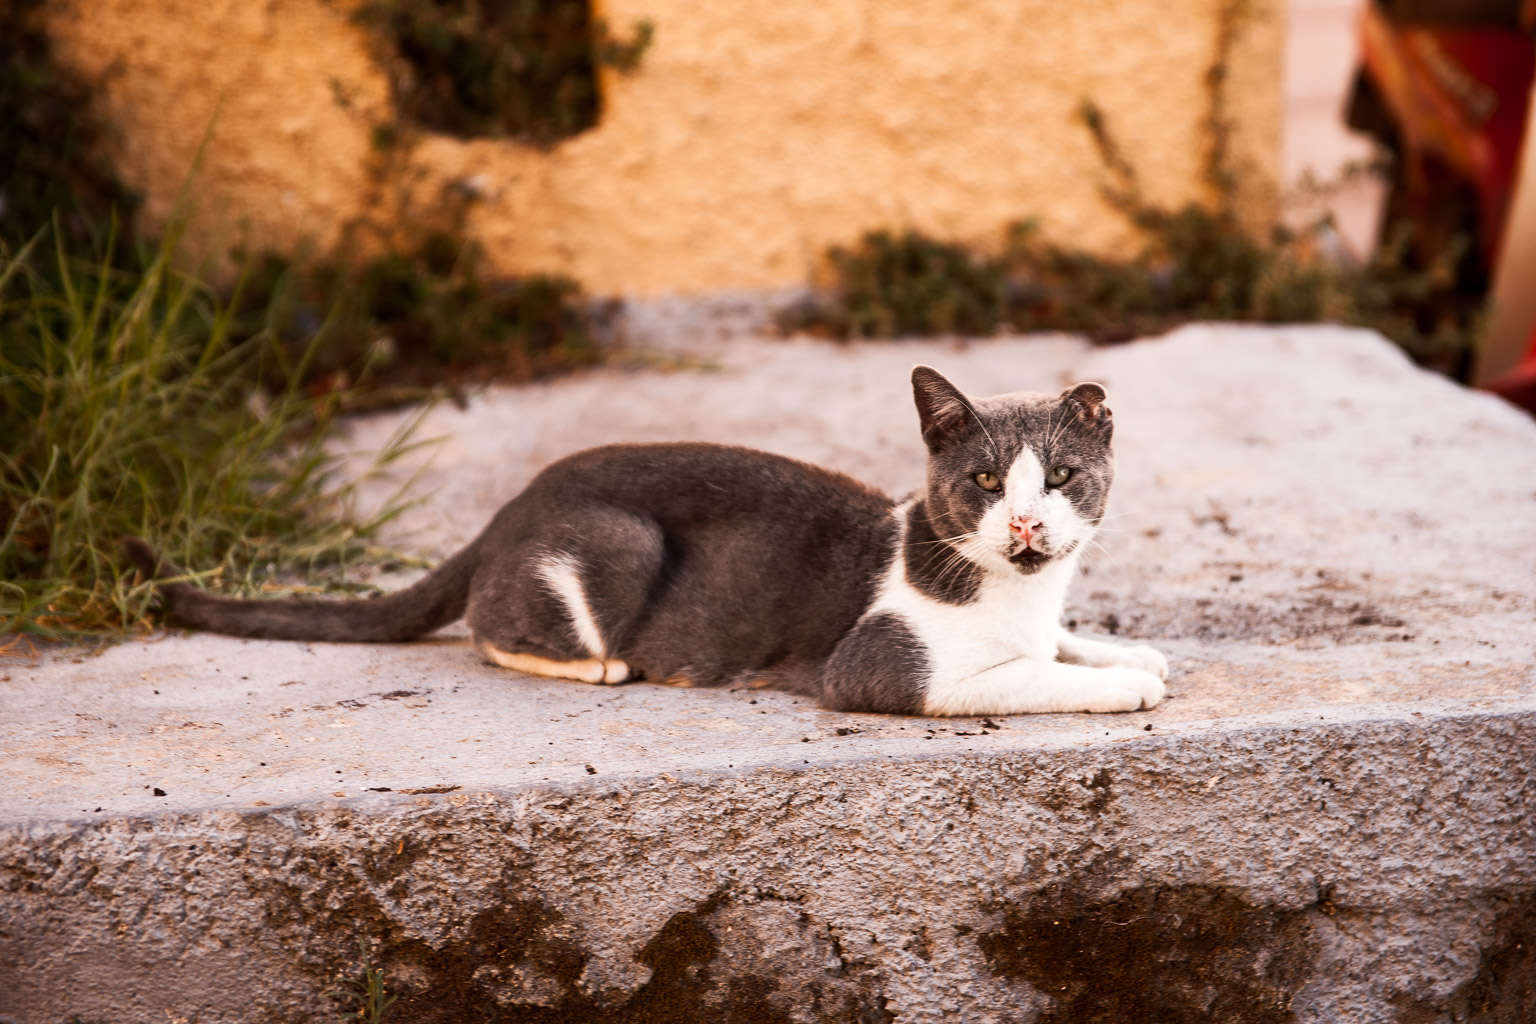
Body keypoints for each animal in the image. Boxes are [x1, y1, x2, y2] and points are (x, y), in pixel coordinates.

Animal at [125, 366, 1167, 717]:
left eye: (1060, 477)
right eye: (984, 483)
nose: (1026, 523)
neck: (1009, 589)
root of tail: (513, 503)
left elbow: (1055, 646)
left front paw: (1126, 650)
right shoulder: (883, 668)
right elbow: (1027, 677)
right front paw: (1121, 684)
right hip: (616, 543)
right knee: (492, 627)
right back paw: (602, 664)